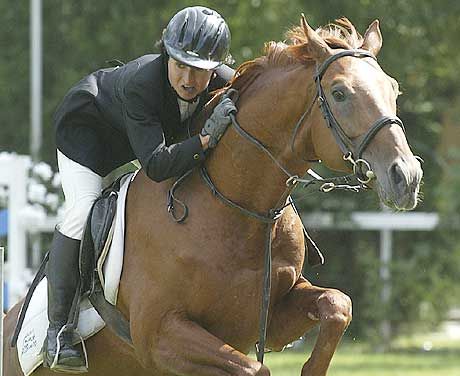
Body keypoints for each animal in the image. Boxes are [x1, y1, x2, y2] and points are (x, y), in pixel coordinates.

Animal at [3, 16, 420, 376]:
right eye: (339, 93)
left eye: (393, 89)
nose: (407, 177)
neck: (238, 208)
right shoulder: (161, 335)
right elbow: (254, 368)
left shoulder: (269, 319)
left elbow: (337, 304)